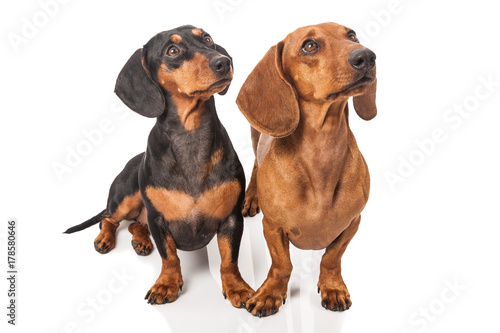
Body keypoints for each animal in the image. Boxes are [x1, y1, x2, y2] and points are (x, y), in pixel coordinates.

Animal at [65, 24, 254, 308]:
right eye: (172, 50)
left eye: (207, 39)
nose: (224, 62)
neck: (190, 135)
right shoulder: (158, 219)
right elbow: (170, 256)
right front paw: (166, 284)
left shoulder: (231, 218)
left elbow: (229, 259)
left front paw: (237, 287)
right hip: (125, 197)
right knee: (109, 219)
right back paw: (106, 238)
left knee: (135, 224)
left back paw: (140, 241)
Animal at [236, 22, 376, 316]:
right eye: (309, 45)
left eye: (352, 35)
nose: (367, 57)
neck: (321, 152)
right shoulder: (272, 227)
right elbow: (282, 265)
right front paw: (270, 292)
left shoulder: (353, 222)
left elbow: (331, 257)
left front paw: (333, 287)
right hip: (255, 136)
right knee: (254, 165)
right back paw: (251, 197)